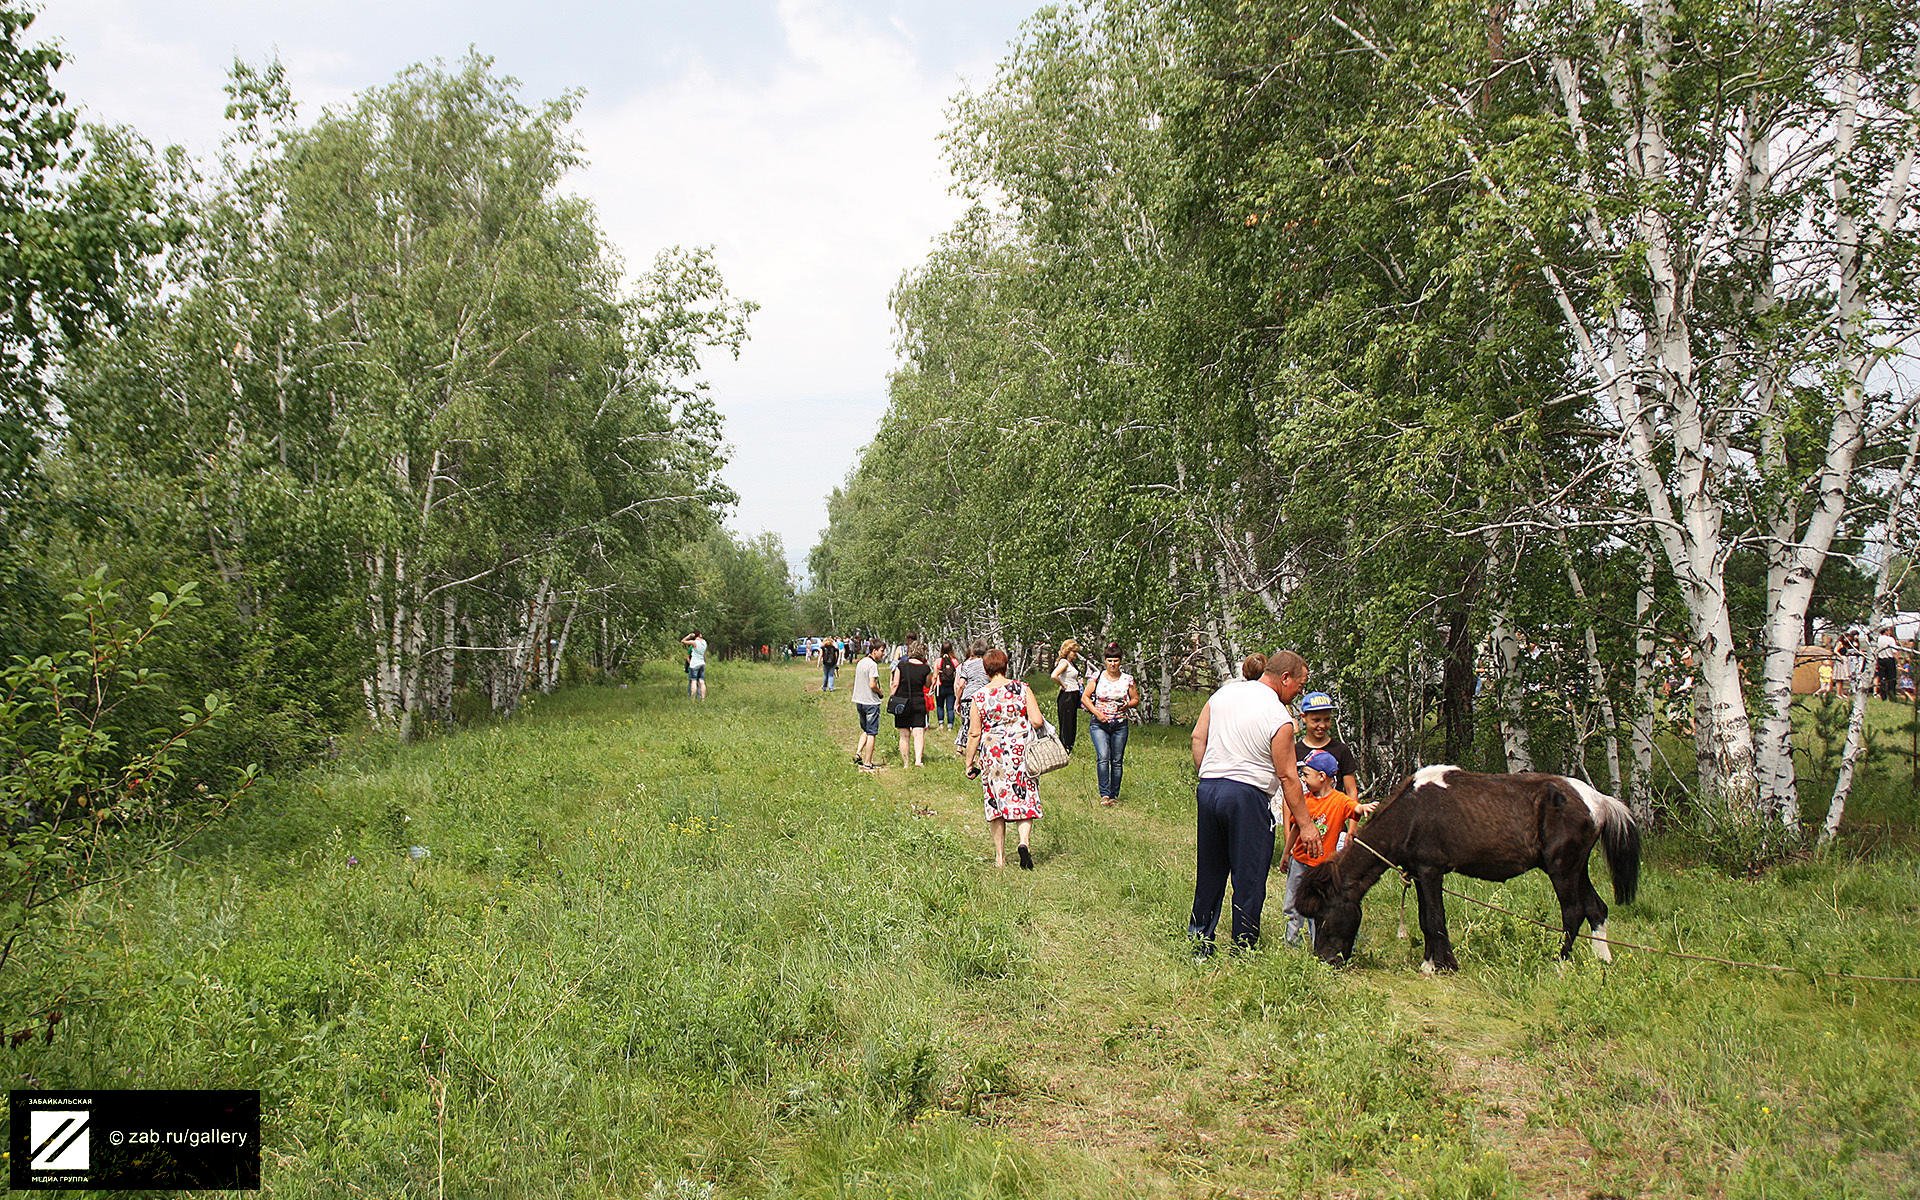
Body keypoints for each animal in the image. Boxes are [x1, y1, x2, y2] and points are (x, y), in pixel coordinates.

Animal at [1290, 768, 1635, 975]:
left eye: (1323, 914)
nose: (1324, 960)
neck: (1412, 814)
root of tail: (1597, 800)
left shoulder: (1431, 871)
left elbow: (1434, 918)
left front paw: (1443, 965)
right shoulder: (1419, 874)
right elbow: (1425, 919)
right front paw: (1430, 962)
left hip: (1562, 869)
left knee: (1573, 912)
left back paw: (1559, 963)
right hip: (1577, 868)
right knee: (1596, 908)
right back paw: (1602, 960)